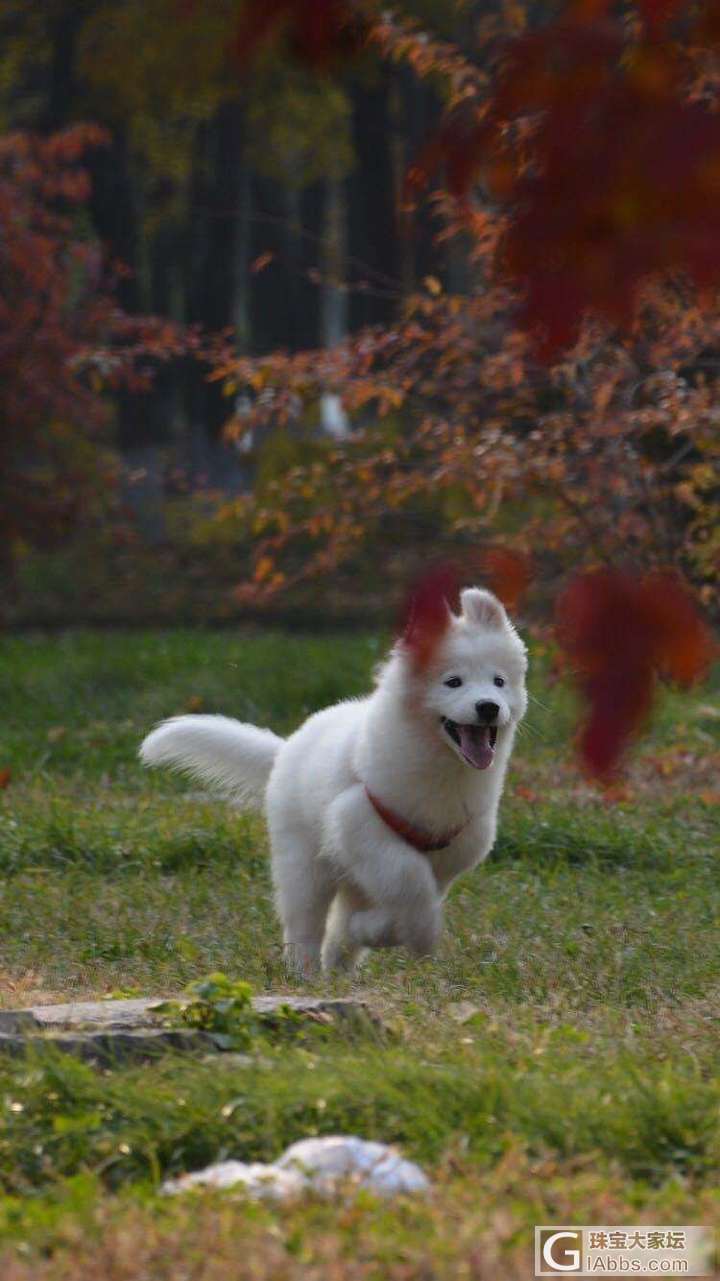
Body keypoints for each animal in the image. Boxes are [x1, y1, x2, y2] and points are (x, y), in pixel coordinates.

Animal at [140, 586, 525, 968]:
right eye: (453, 682)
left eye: (499, 681)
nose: (489, 707)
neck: (443, 769)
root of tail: (288, 746)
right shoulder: (359, 820)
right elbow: (409, 880)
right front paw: (417, 934)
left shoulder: (455, 849)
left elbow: (415, 895)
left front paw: (372, 931)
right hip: (304, 864)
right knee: (304, 923)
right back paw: (304, 972)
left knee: (343, 921)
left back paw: (339, 962)